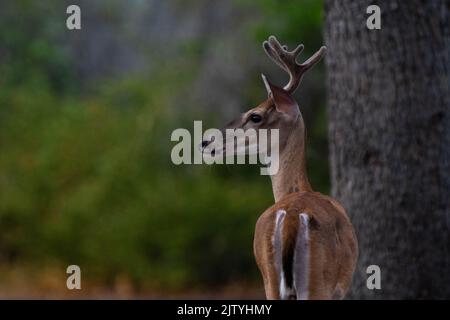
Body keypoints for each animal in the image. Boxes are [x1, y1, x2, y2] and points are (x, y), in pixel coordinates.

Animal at [200, 37, 358, 300]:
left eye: (255, 116)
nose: (204, 141)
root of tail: (292, 217)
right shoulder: (341, 289)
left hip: (271, 279)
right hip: (317, 282)